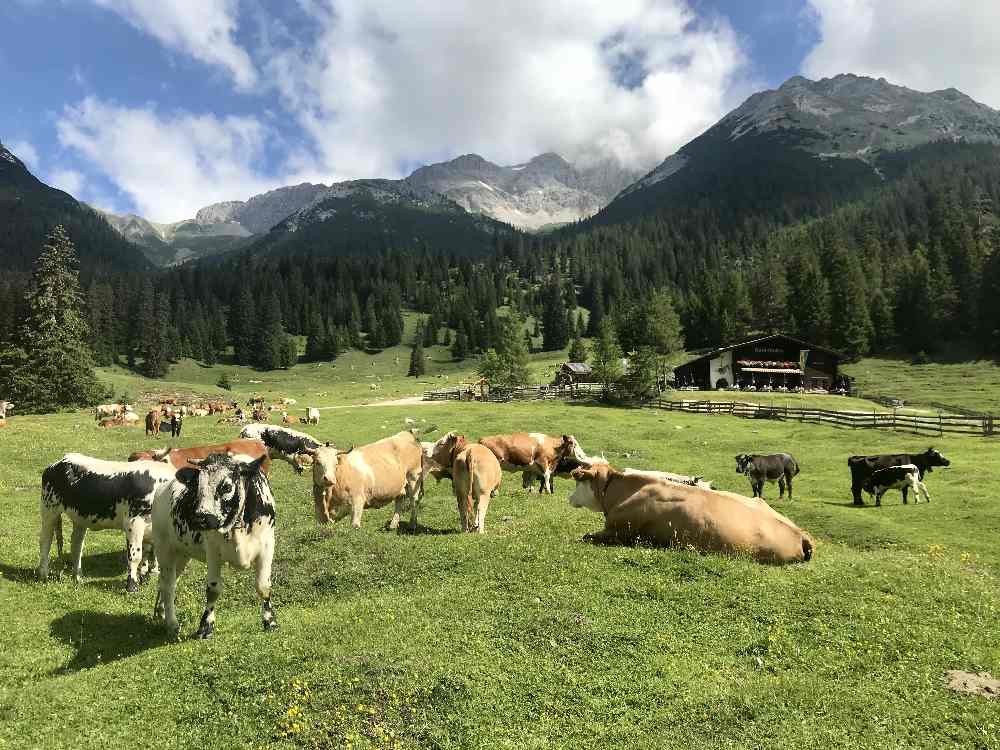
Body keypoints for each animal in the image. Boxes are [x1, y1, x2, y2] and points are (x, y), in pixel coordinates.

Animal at [37, 456, 177, 592]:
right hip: (49, 508)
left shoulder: (149, 527)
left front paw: (143, 578)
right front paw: (131, 586)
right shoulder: (133, 522)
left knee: (76, 545)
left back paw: (77, 577)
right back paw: (44, 575)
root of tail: (58, 462)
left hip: (79, 518)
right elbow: (135, 556)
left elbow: (145, 553)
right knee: (45, 540)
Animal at [152, 452, 278, 640]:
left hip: (182, 554)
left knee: (167, 582)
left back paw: (161, 613)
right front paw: (205, 627)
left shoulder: (267, 546)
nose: (201, 517)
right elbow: (213, 589)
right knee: (168, 586)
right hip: (164, 548)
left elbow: (263, 586)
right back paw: (172, 623)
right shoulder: (212, 551)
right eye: (198, 486)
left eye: (226, 487)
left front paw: (270, 621)